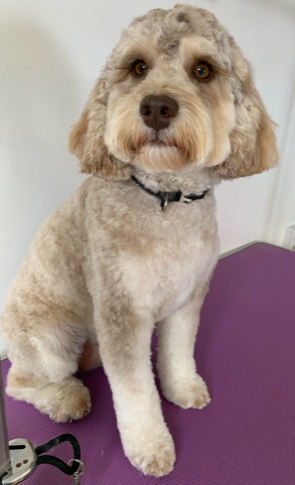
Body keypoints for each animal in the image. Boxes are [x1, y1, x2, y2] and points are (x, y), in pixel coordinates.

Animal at [0, 3, 278, 478]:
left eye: (202, 70)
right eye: (138, 67)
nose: (157, 106)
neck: (165, 199)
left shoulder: (187, 297)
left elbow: (178, 350)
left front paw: (183, 387)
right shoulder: (122, 312)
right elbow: (135, 390)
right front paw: (150, 446)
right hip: (48, 340)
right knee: (20, 380)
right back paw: (66, 397)